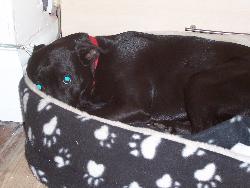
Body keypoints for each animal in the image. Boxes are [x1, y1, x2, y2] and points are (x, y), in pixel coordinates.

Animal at [25, 31, 250, 134]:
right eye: (39, 86)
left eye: (67, 79)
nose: (52, 111)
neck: (99, 66)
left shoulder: (132, 105)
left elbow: (94, 113)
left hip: (199, 80)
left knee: (203, 129)